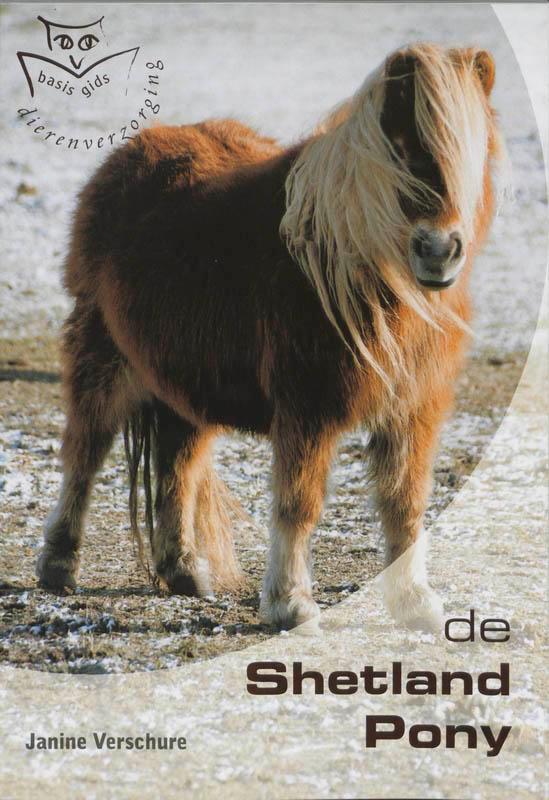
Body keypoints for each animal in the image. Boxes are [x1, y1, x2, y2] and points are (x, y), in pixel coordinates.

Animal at [37, 43, 505, 631]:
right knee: (84, 455)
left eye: (473, 149)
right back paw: (58, 565)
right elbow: (298, 503)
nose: (438, 251)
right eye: (397, 149)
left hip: (183, 384)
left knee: (176, 467)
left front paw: (414, 602)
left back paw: (183, 572)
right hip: (101, 357)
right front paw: (291, 604)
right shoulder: (308, 406)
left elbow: (406, 501)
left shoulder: (413, 408)